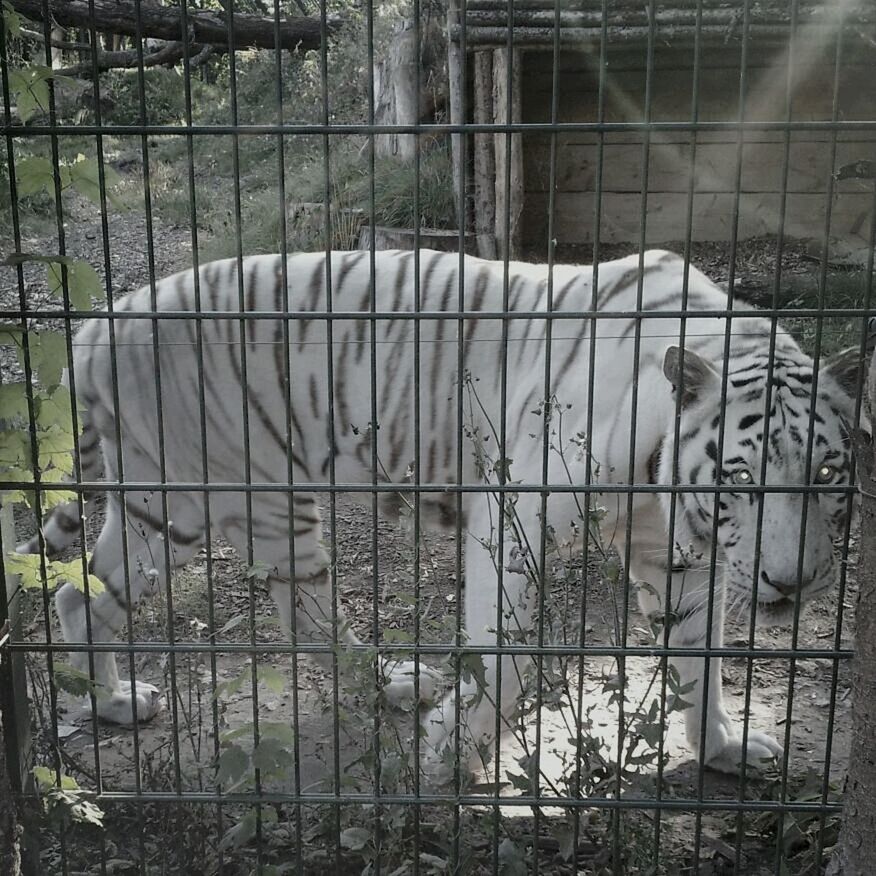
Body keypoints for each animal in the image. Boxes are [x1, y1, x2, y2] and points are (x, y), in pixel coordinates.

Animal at [20, 246, 864, 772]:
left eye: (828, 472)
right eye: (741, 478)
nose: (792, 587)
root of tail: (95, 326)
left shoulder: (678, 552)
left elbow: (702, 658)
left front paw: (722, 748)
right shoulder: (517, 518)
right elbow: (508, 653)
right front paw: (449, 749)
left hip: (174, 504)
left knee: (82, 593)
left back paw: (122, 702)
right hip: (224, 501)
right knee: (292, 615)